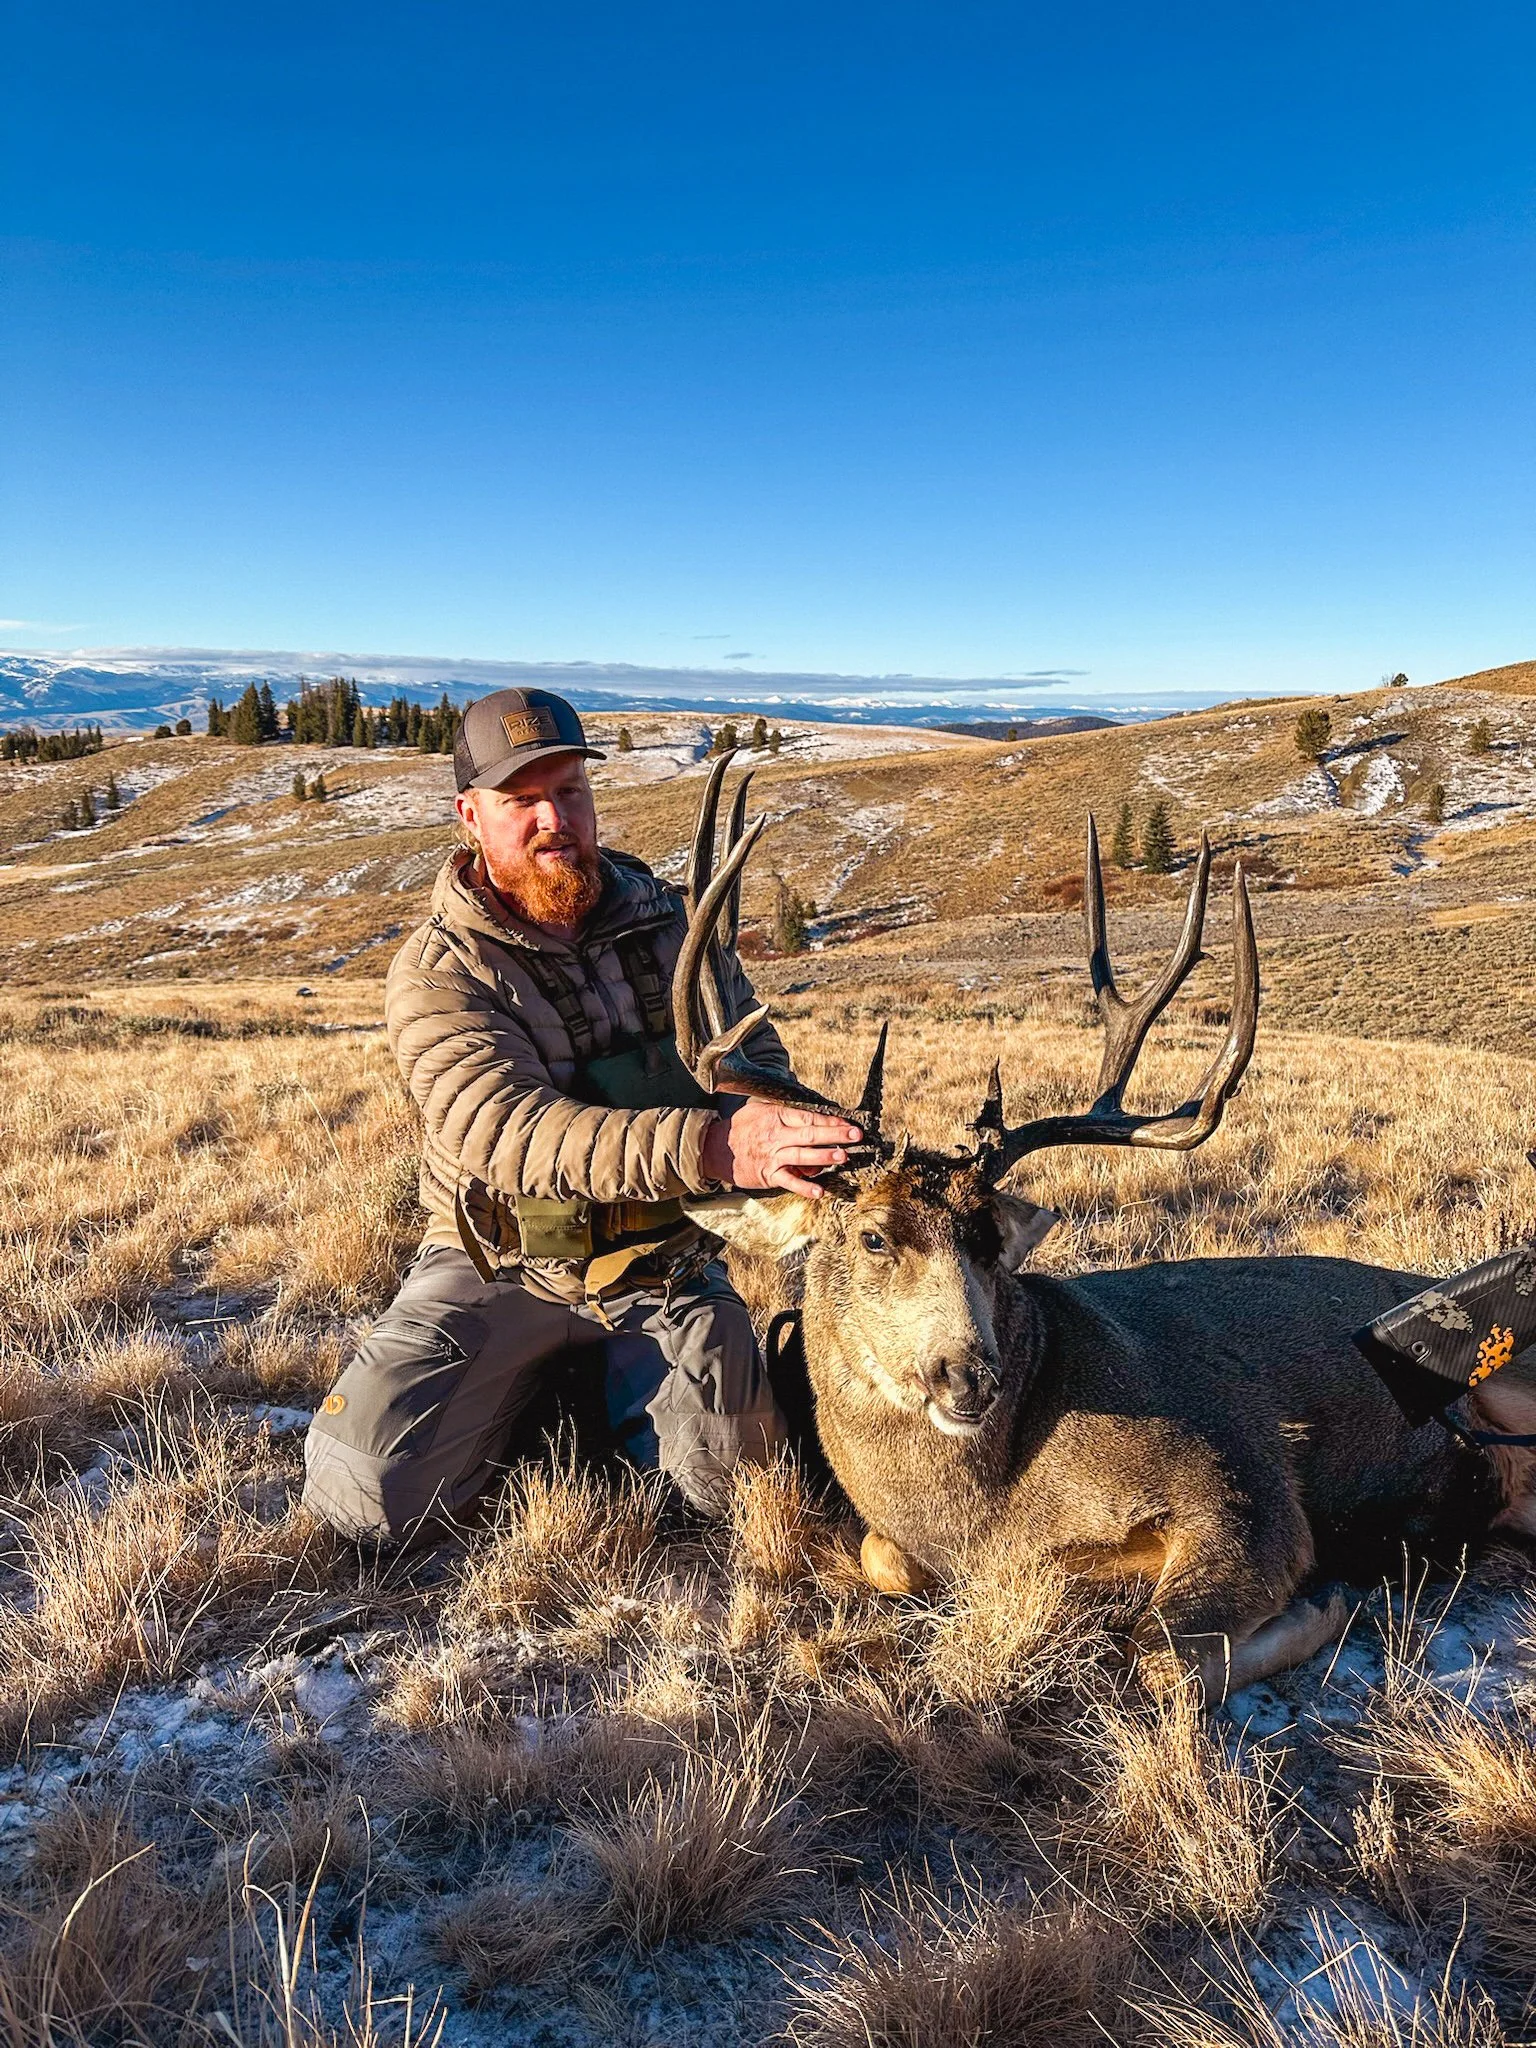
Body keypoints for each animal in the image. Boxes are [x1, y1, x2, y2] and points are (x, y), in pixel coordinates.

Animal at [668, 765, 1536, 1699]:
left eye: (989, 1239)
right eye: (872, 1237)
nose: (969, 1376)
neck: (987, 1507)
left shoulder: (1244, 1486)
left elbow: (1157, 1657)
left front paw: (1326, 1599)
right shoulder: (917, 1547)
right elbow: (885, 1558)